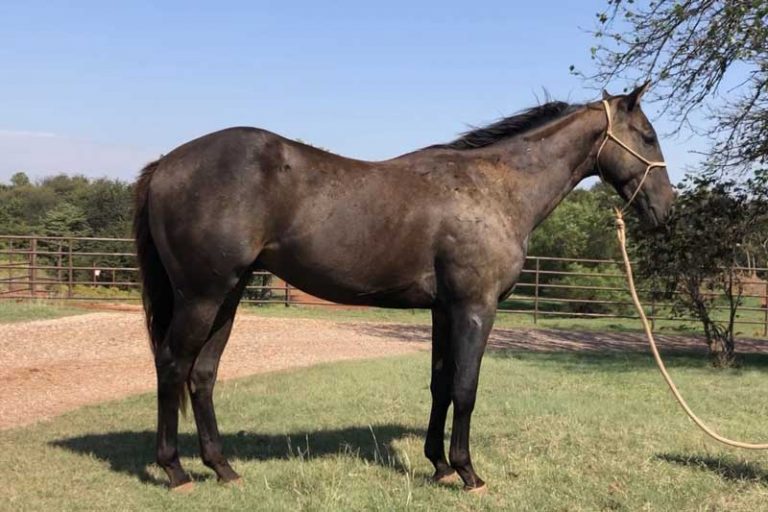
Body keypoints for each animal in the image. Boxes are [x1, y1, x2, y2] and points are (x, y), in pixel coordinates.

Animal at [134, 82, 674, 492]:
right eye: (647, 137)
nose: (666, 209)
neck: (495, 189)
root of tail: (166, 164)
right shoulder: (475, 308)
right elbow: (466, 387)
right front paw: (468, 472)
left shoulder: (443, 309)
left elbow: (441, 383)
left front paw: (438, 465)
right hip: (201, 296)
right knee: (173, 364)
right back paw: (176, 470)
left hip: (228, 295)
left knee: (203, 374)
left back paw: (222, 468)